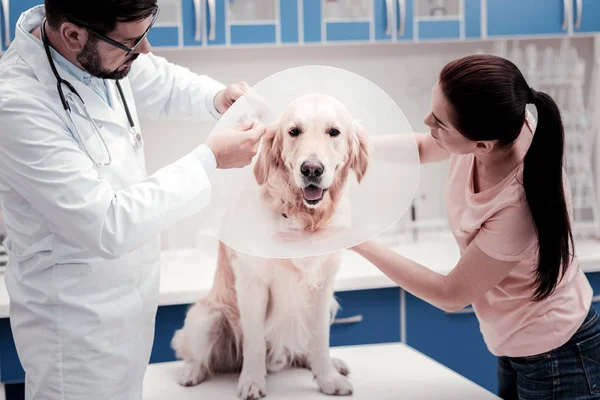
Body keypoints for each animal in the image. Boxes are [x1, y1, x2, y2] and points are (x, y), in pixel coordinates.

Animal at [170, 94, 370, 400]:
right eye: (294, 131)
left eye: (334, 132)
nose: (311, 169)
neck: (300, 216)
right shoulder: (253, 283)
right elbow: (253, 341)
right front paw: (252, 382)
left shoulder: (322, 286)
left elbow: (320, 338)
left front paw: (328, 379)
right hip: (206, 317)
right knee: (198, 354)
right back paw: (192, 372)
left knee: (302, 348)